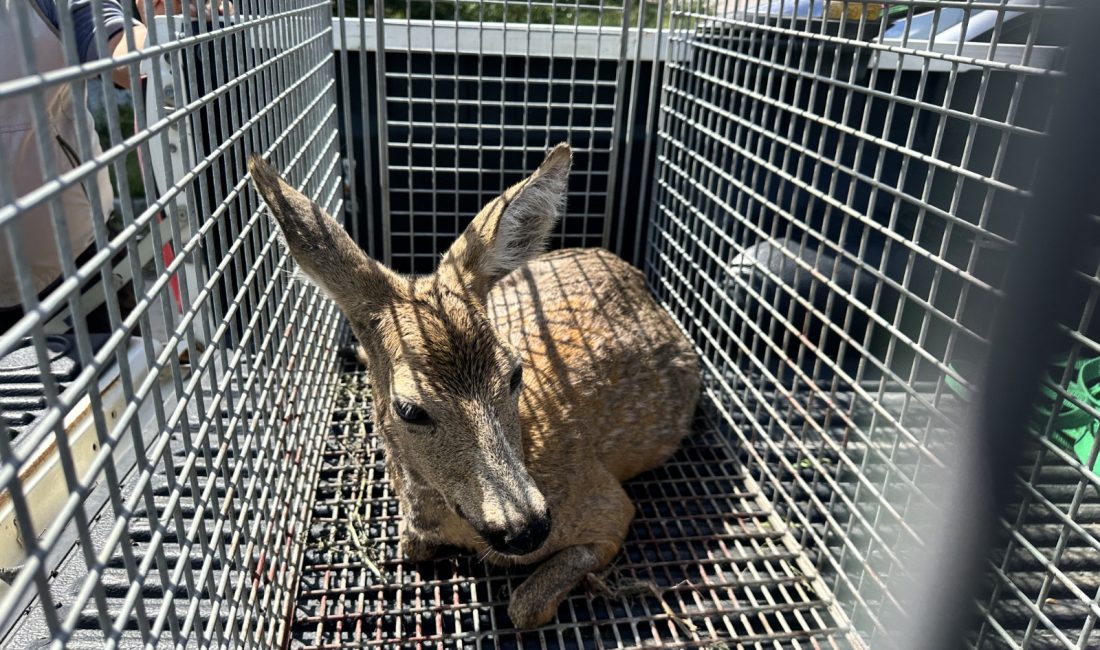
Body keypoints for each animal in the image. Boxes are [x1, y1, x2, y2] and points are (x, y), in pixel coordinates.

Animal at [246, 144, 699, 629]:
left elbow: (524, 607)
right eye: (409, 409)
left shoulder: (608, 505)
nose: (528, 529)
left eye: (516, 373)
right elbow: (411, 545)